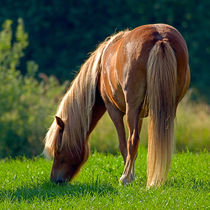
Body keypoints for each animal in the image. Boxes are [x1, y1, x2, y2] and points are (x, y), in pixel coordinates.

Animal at [44, 23, 190, 188]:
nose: (55, 180)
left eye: (58, 149)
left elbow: (123, 144)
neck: (101, 69)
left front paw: (128, 177)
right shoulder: (139, 115)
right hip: (167, 108)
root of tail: (160, 37)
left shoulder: (114, 110)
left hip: (132, 107)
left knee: (132, 140)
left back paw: (125, 178)